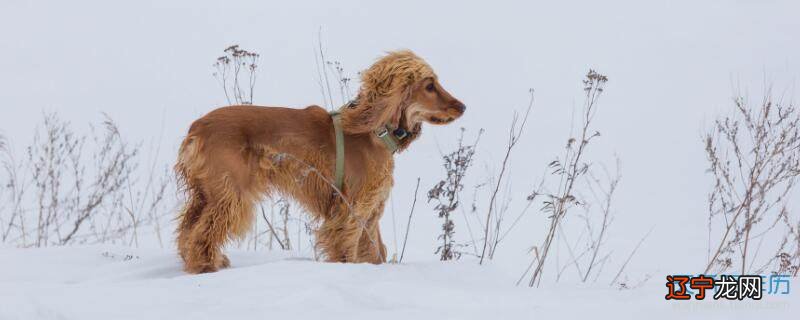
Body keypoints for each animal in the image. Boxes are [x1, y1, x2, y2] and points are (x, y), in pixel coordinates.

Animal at [172, 50, 466, 272]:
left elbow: (375, 252)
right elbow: (347, 248)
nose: (462, 107)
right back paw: (206, 265)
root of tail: (197, 128)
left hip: (206, 193)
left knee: (188, 229)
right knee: (202, 232)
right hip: (231, 193)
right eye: (429, 86)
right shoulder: (351, 211)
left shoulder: (370, 213)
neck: (374, 132)